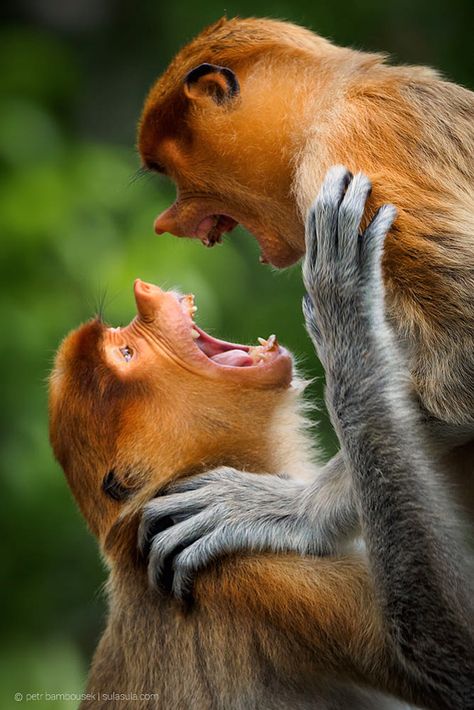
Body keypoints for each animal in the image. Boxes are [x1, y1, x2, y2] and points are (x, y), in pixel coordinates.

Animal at [50, 177, 472, 708]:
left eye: (117, 338)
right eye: (126, 353)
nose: (144, 291)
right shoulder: (270, 576)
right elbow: (444, 649)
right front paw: (344, 310)